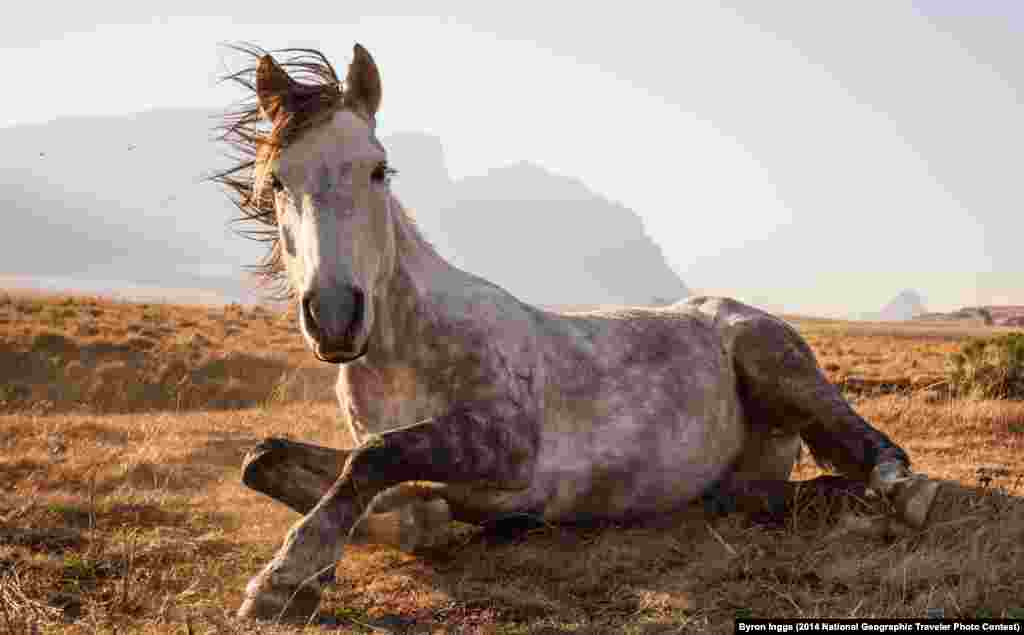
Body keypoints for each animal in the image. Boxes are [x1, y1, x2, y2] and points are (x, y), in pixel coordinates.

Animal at [211, 43, 937, 618]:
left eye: (377, 168)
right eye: (278, 180)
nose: (336, 315)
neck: (405, 349)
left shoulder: (507, 445)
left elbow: (373, 459)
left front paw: (286, 576)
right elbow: (270, 456)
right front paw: (410, 524)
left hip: (778, 364)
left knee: (875, 448)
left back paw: (904, 494)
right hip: (741, 479)